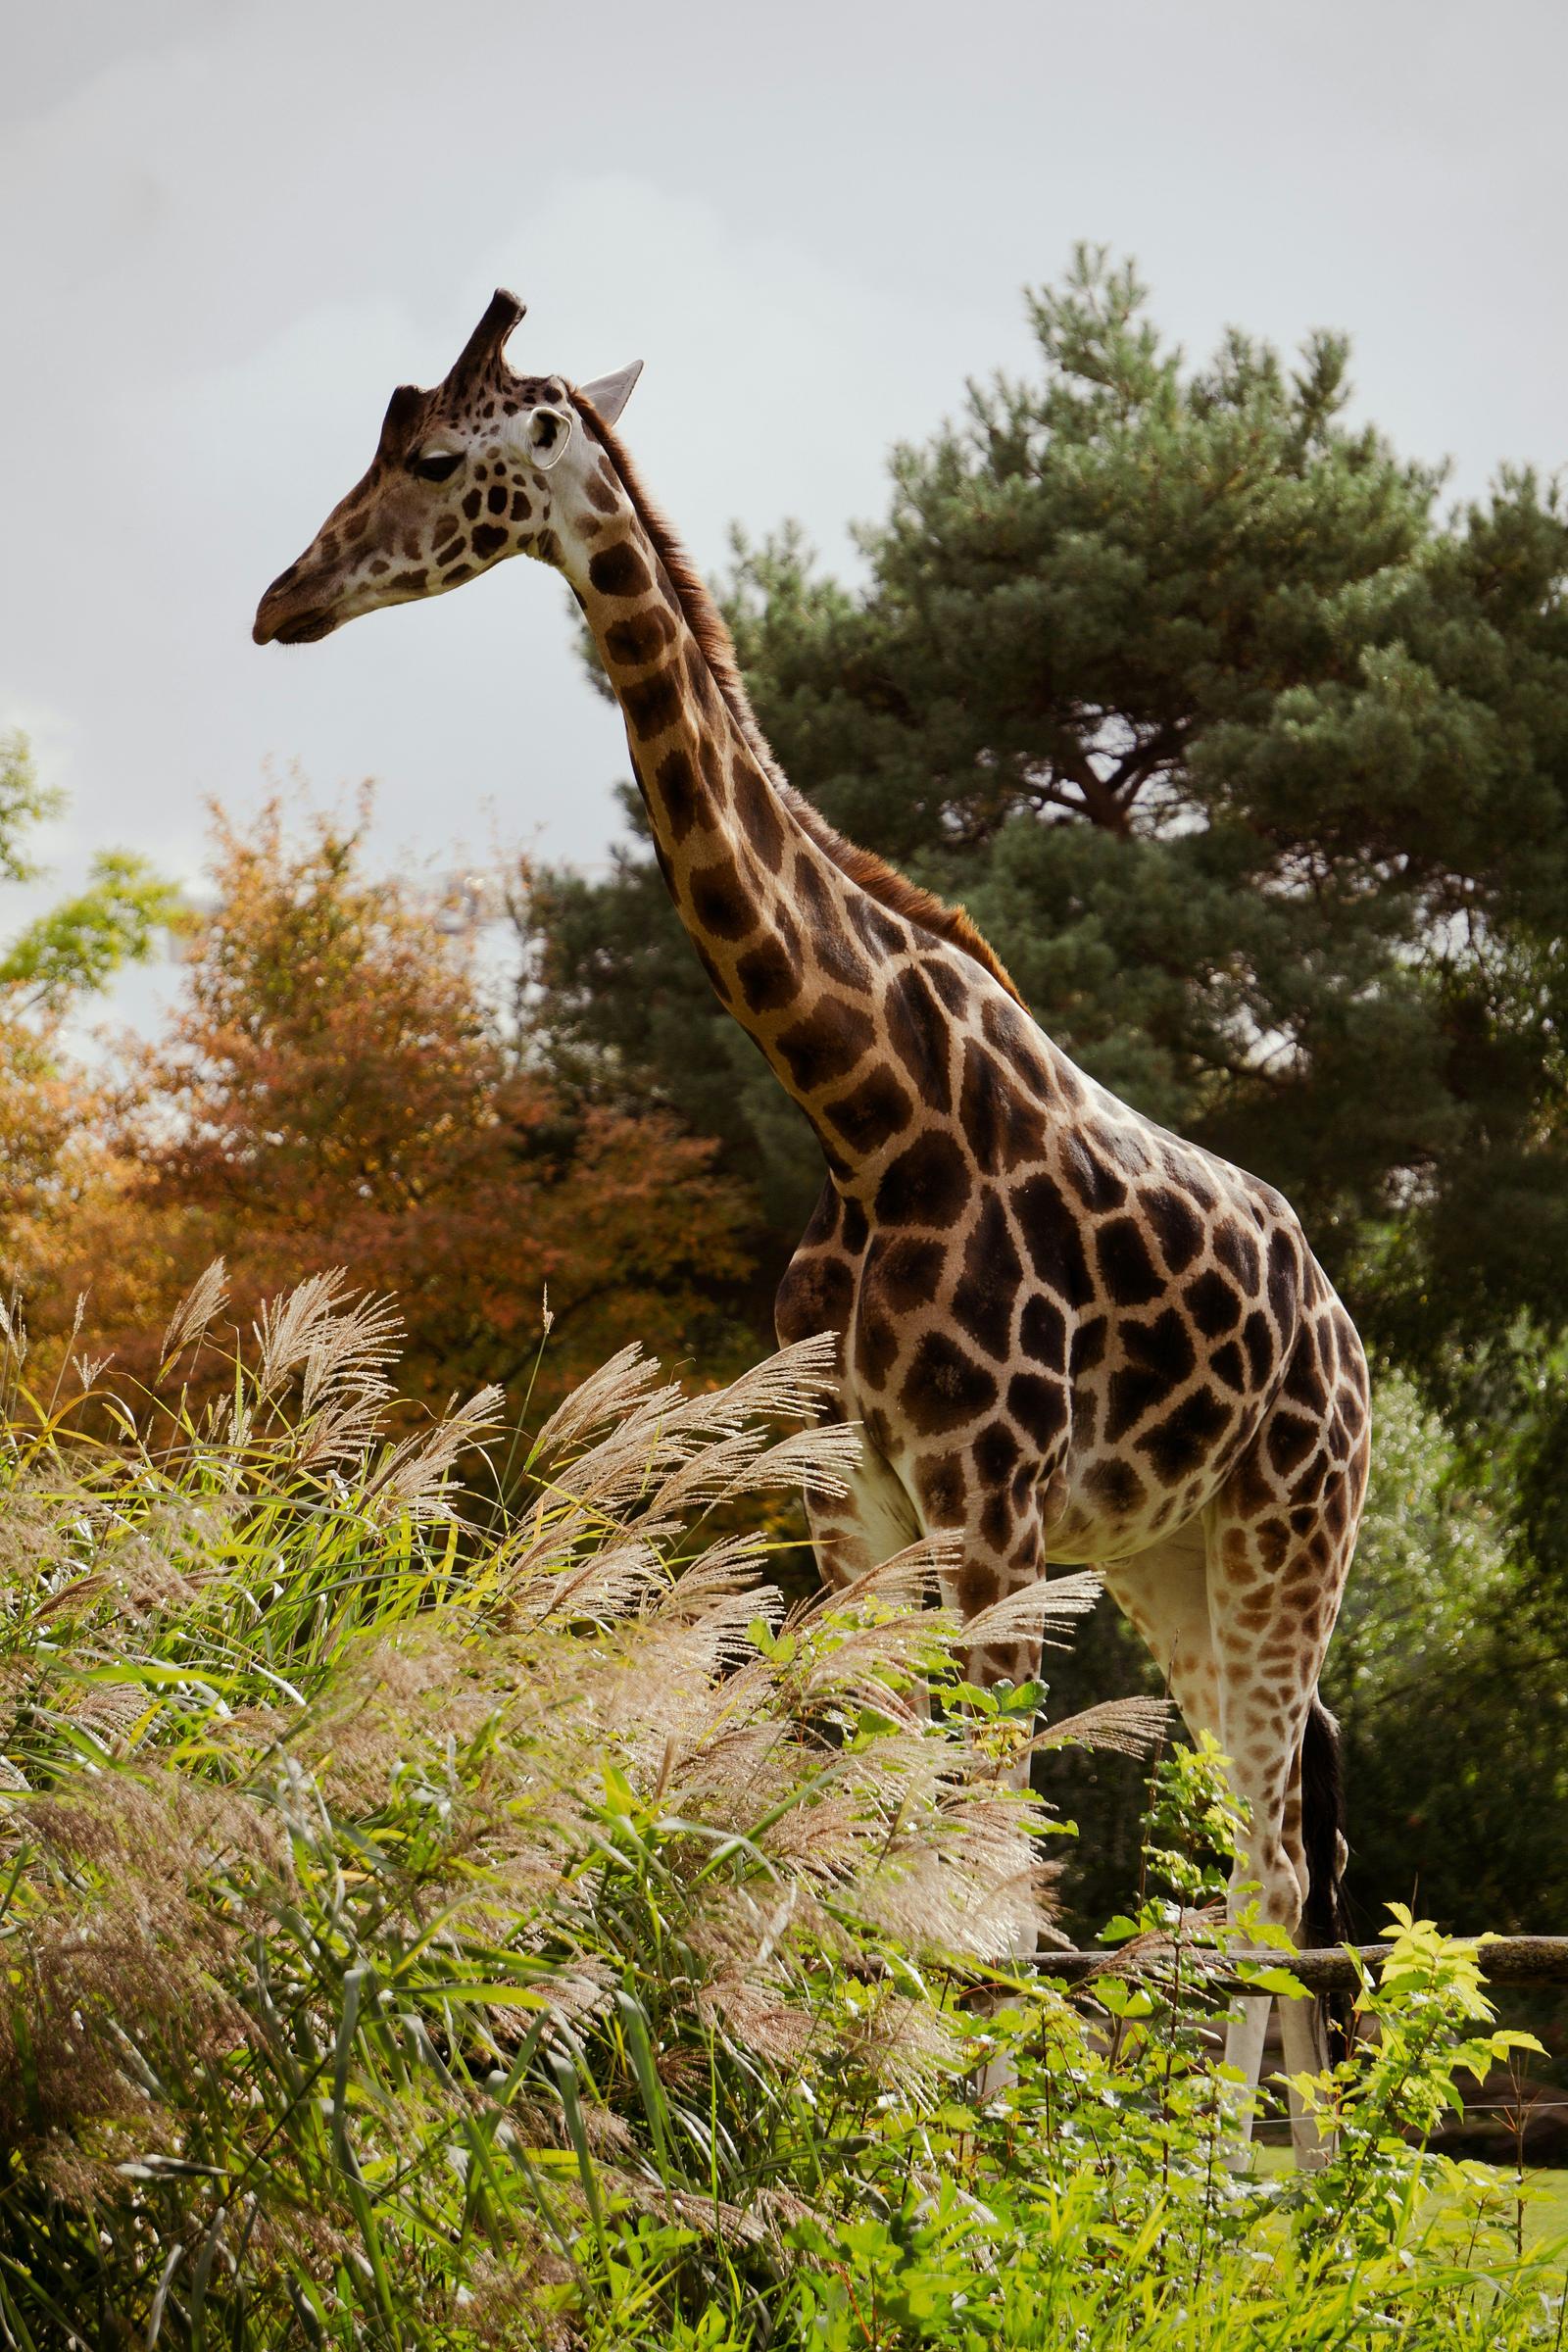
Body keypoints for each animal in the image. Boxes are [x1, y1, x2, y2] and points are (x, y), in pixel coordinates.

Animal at [254, 291, 1372, 2159]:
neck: (865, 1105)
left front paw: (976, 2163)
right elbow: (881, 1830)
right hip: (1175, 1557)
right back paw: (1302, 2172)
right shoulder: (855, 1511)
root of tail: (1353, 1348)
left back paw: (1243, 2184)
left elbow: (998, 1868)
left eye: (431, 457)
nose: (283, 602)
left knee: (1275, 1859)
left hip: (1295, 1532)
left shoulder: (991, 1512)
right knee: (1270, 1827)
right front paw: (863, 2125)